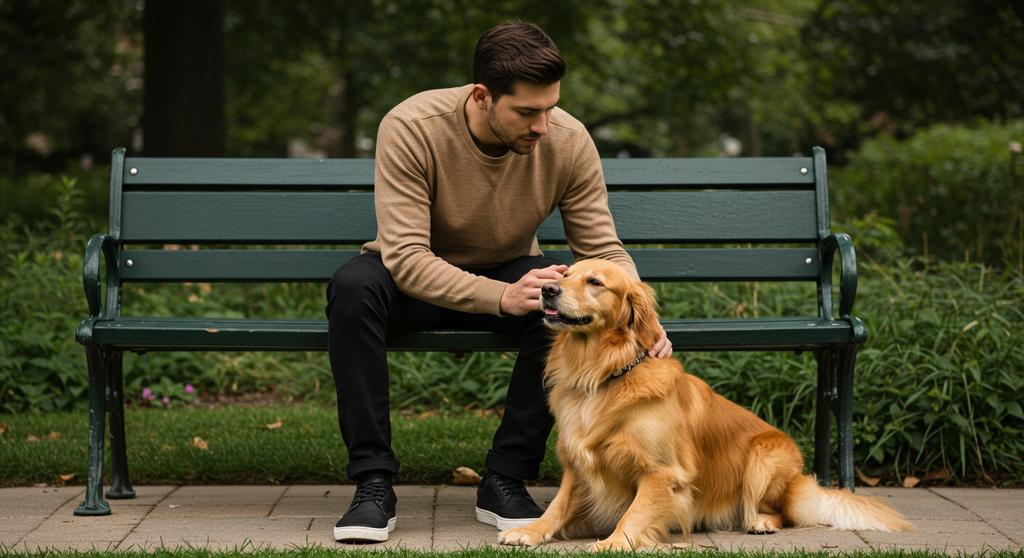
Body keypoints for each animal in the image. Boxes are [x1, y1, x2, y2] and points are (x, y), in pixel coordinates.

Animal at [495, 260, 913, 548]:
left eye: (595, 282)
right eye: (565, 274)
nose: (547, 289)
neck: (603, 373)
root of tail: (800, 480)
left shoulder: (663, 472)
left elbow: (635, 512)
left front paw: (613, 541)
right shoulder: (578, 461)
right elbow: (559, 504)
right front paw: (531, 531)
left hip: (764, 457)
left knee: (783, 512)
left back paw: (761, 521)